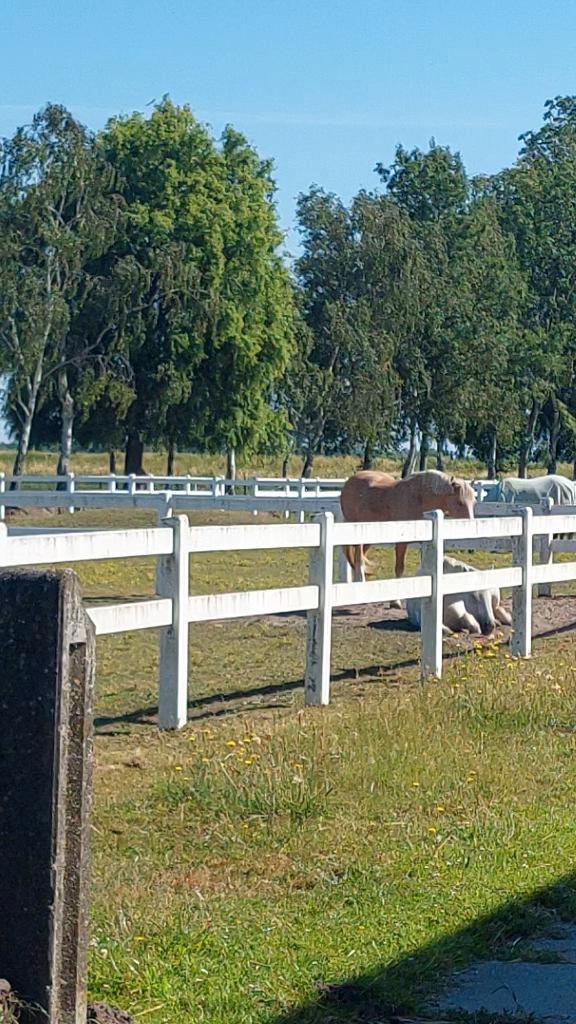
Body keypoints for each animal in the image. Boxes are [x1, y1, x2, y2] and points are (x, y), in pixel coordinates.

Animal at [340, 469, 475, 589]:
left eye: (473, 502)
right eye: (459, 502)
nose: (471, 526)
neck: (420, 498)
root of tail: (350, 481)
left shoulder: (425, 543)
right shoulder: (401, 543)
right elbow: (399, 569)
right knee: (359, 560)